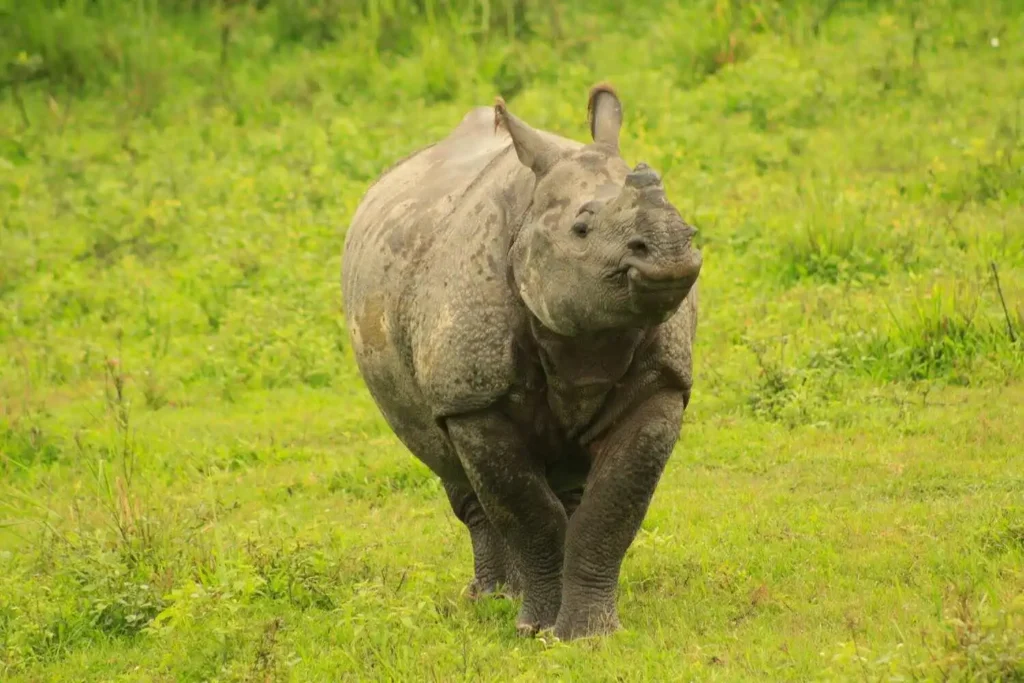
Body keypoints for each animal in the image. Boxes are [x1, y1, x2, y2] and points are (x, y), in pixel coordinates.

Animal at [341, 83, 702, 641]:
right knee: (460, 477)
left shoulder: (662, 384)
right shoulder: (472, 398)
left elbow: (612, 509)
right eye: (581, 228)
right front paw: (535, 631)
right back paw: (492, 600)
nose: (669, 248)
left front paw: (590, 636)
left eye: (678, 211)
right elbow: (528, 511)